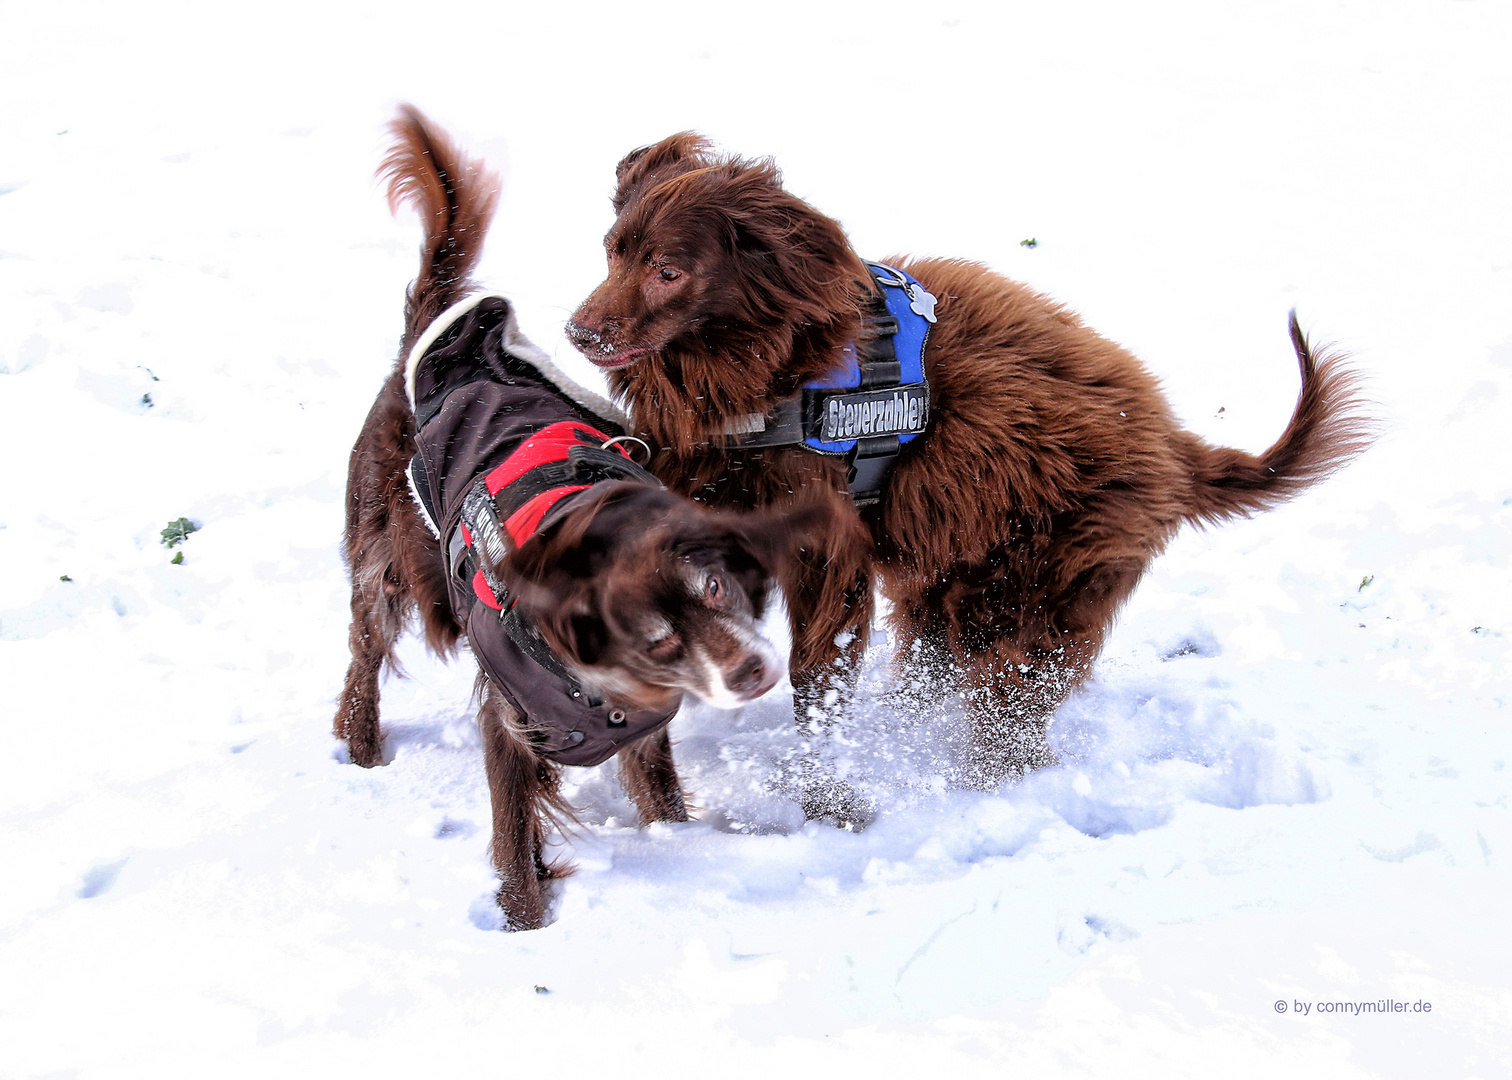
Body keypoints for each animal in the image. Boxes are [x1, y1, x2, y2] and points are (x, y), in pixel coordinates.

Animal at [335, 113, 798, 931]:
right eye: (657, 636)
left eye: (716, 589)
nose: (753, 669)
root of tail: (426, 346)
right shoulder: (510, 723)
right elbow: (513, 838)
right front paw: (525, 927)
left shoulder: (644, 721)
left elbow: (659, 791)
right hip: (382, 563)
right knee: (364, 654)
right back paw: (361, 752)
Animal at [568, 130, 1372, 798]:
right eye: (612, 251)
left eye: (668, 270)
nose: (580, 332)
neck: (772, 367)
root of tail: (1174, 444)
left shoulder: (826, 546)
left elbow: (818, 673)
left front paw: (824, 787)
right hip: (955, 577)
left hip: (1032, 593)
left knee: (1013, 699)